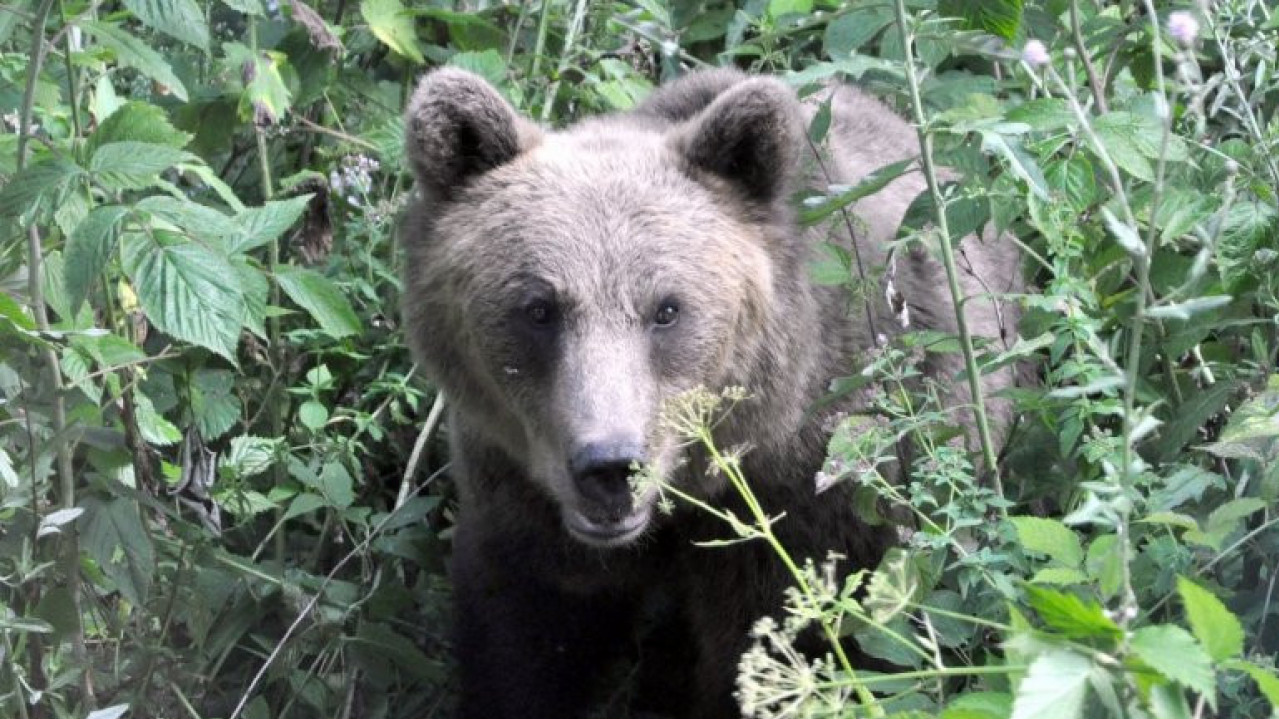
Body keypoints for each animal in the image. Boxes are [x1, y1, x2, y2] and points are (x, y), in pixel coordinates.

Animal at [399, 68, 1018, 716]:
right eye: (539, 308)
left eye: (667, 309)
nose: (611, 466)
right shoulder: (521, 493)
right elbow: (527, 642)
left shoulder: (813, 501)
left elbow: (790, 648)